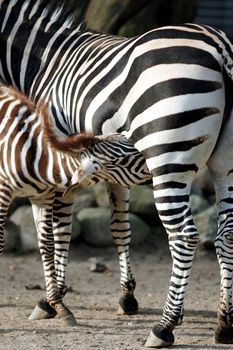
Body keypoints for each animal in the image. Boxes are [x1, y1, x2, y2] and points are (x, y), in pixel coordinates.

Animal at [0, 0, 233, 348]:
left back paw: (164, 327)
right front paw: (127, 296)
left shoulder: (59, 166)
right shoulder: (112, 171)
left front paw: (53, 300)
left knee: (184, 236)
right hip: (225, 165)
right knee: (226, 234)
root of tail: (220, 48)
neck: (43, 64)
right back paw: (224, 322)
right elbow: (120, 229)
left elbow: (57, 232)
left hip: (168, 159)